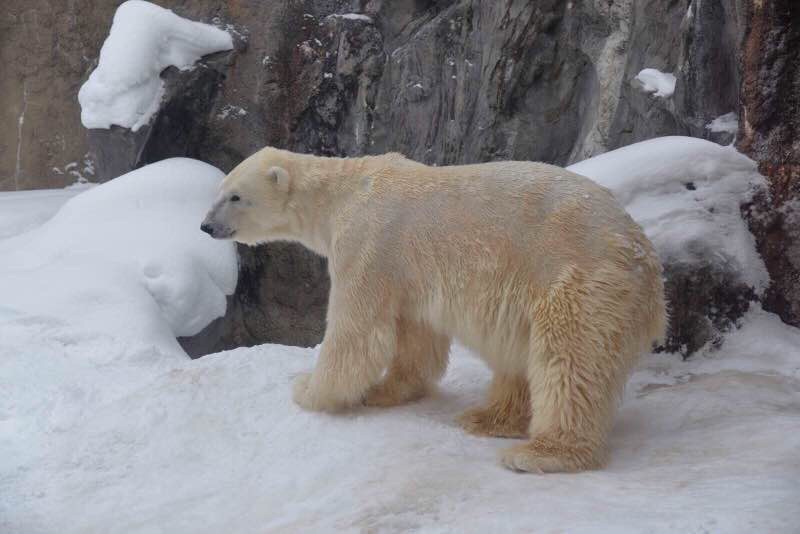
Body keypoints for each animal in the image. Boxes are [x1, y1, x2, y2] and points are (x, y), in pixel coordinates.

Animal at [202, 146, 668, 474]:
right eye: (218, 191)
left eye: (235, 196)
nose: (206, 226)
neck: (343, 194)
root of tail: (645, 258)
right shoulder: (409, 273)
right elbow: (414, 334)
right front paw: (385, 390)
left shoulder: (368, 243)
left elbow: (357, 331)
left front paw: (309, 388)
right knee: (521, 356)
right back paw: (488, 417)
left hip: (578, 283)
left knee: (568, 362)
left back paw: (541, 452)